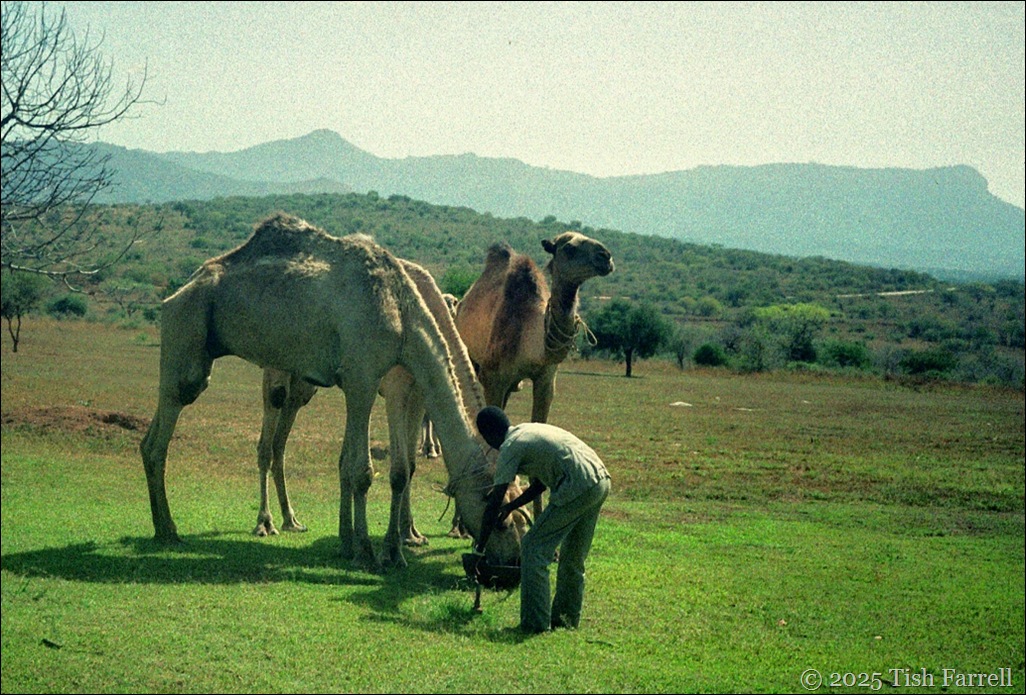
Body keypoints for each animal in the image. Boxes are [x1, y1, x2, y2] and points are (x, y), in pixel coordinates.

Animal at [140, 213, 525, 568]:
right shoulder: (366, 377)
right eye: (501, 518)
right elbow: (366, 471)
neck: (403, 312)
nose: (513, 562)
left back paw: (279, 521)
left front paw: (378, 545)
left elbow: (378, 467)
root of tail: (176, 293)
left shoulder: (380, 385)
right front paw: (369, 550)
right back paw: (177, 529)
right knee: (170, 430)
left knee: (165, 439)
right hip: (187, 332)